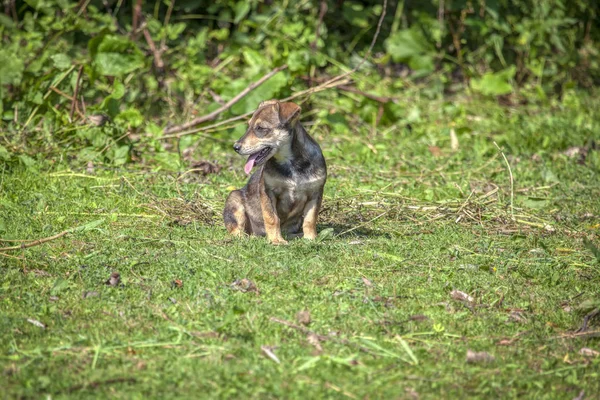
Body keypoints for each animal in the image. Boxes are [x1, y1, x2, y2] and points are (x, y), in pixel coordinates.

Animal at [224, 100, 328, 244]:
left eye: (260, 128)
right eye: (249, 126)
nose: (235, 147)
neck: (291, 163)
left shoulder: (315, 193)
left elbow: (310, 219)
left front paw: (311, 238)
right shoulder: (268, 192)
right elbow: (272, 218)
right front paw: (276, 240)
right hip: (234, 200)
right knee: (237, 230)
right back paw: (250, 238)